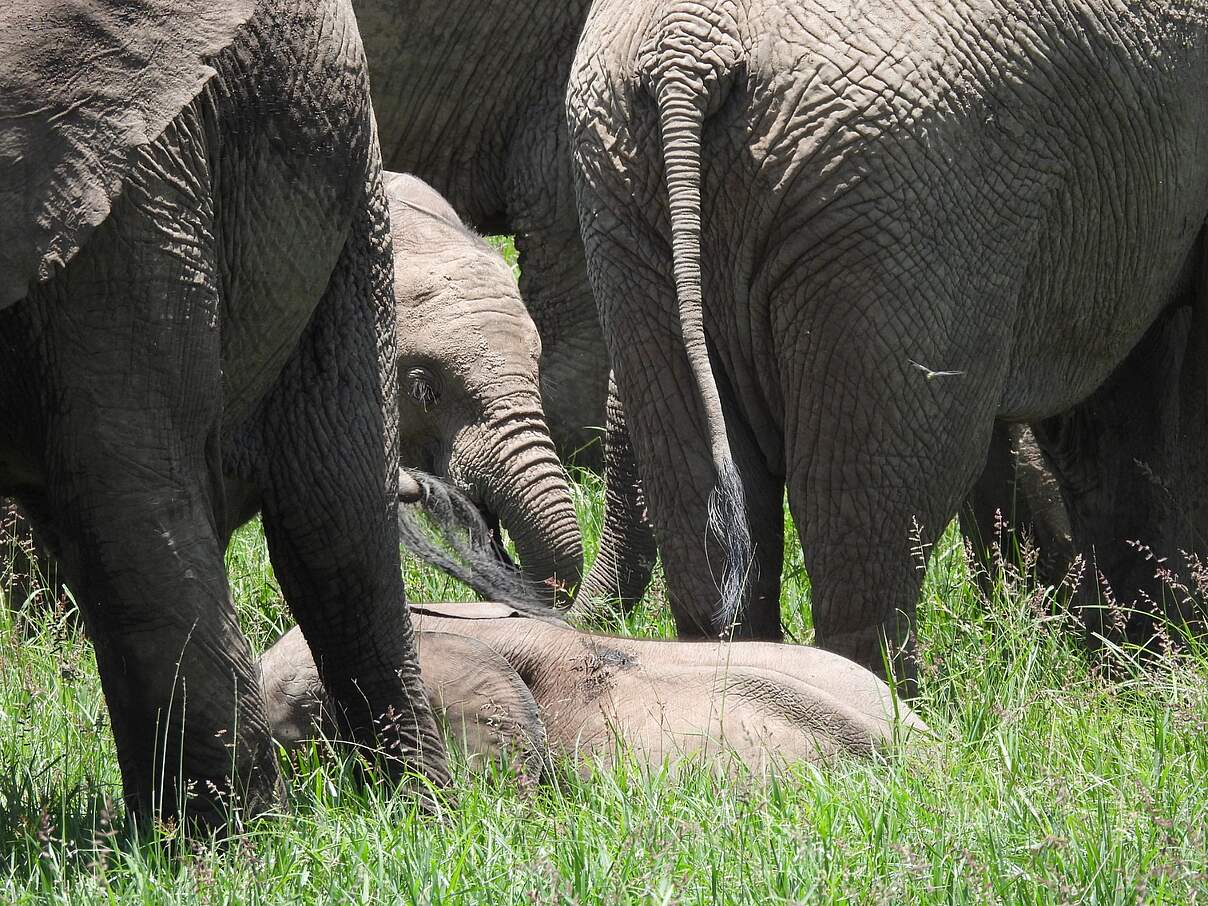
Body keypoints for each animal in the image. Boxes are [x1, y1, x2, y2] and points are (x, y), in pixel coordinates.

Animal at [0, 0, 449, 831]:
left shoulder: (128, 171)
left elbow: (122, 488)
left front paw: (225, 848)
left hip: (346, 178)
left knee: (334, 524)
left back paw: (418, 815)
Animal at [565, 0, 1208, 681]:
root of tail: (686, 54)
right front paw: (1162, 658)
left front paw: (1138, 657)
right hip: (893, 201)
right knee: (875, 496)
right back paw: (887, 699)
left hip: (625, 196)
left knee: (696, 485)